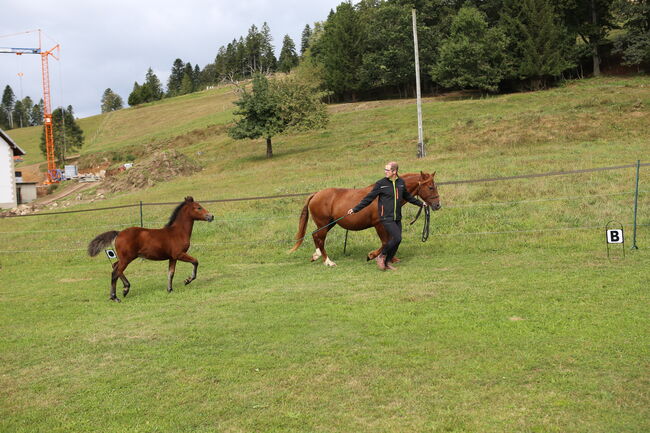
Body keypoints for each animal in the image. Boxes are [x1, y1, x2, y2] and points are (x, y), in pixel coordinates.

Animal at [290, 170, 438, 264]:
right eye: (431, 187)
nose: (437, 205)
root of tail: (316, 194)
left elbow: (392, 240)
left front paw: (391, 258)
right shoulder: (379, 224)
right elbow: (386, 242)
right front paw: (371, 256)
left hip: (329, 223)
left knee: (315, 235)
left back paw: (316, 256)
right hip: (323, 223)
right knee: (320, 239)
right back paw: (328, 262)